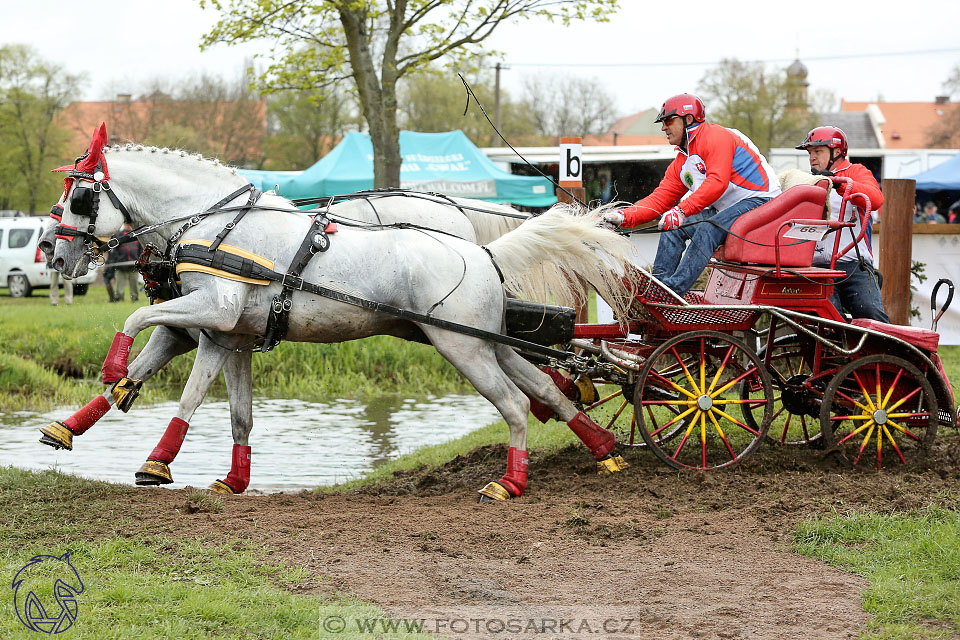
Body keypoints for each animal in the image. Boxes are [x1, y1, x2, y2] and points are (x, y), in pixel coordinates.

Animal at [48, 125, 640, 498]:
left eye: (79, 199)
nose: (57, 256)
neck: (219, 224)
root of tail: (482, 252)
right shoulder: (226, 335)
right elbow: (235, 412)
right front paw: (227, 478)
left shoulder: (213, 312)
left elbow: (148, 342)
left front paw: (129, 403)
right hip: (480, 341)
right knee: (543, 389)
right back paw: (604, 448)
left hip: (463, 347)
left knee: (516, 403)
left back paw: (511, 482)